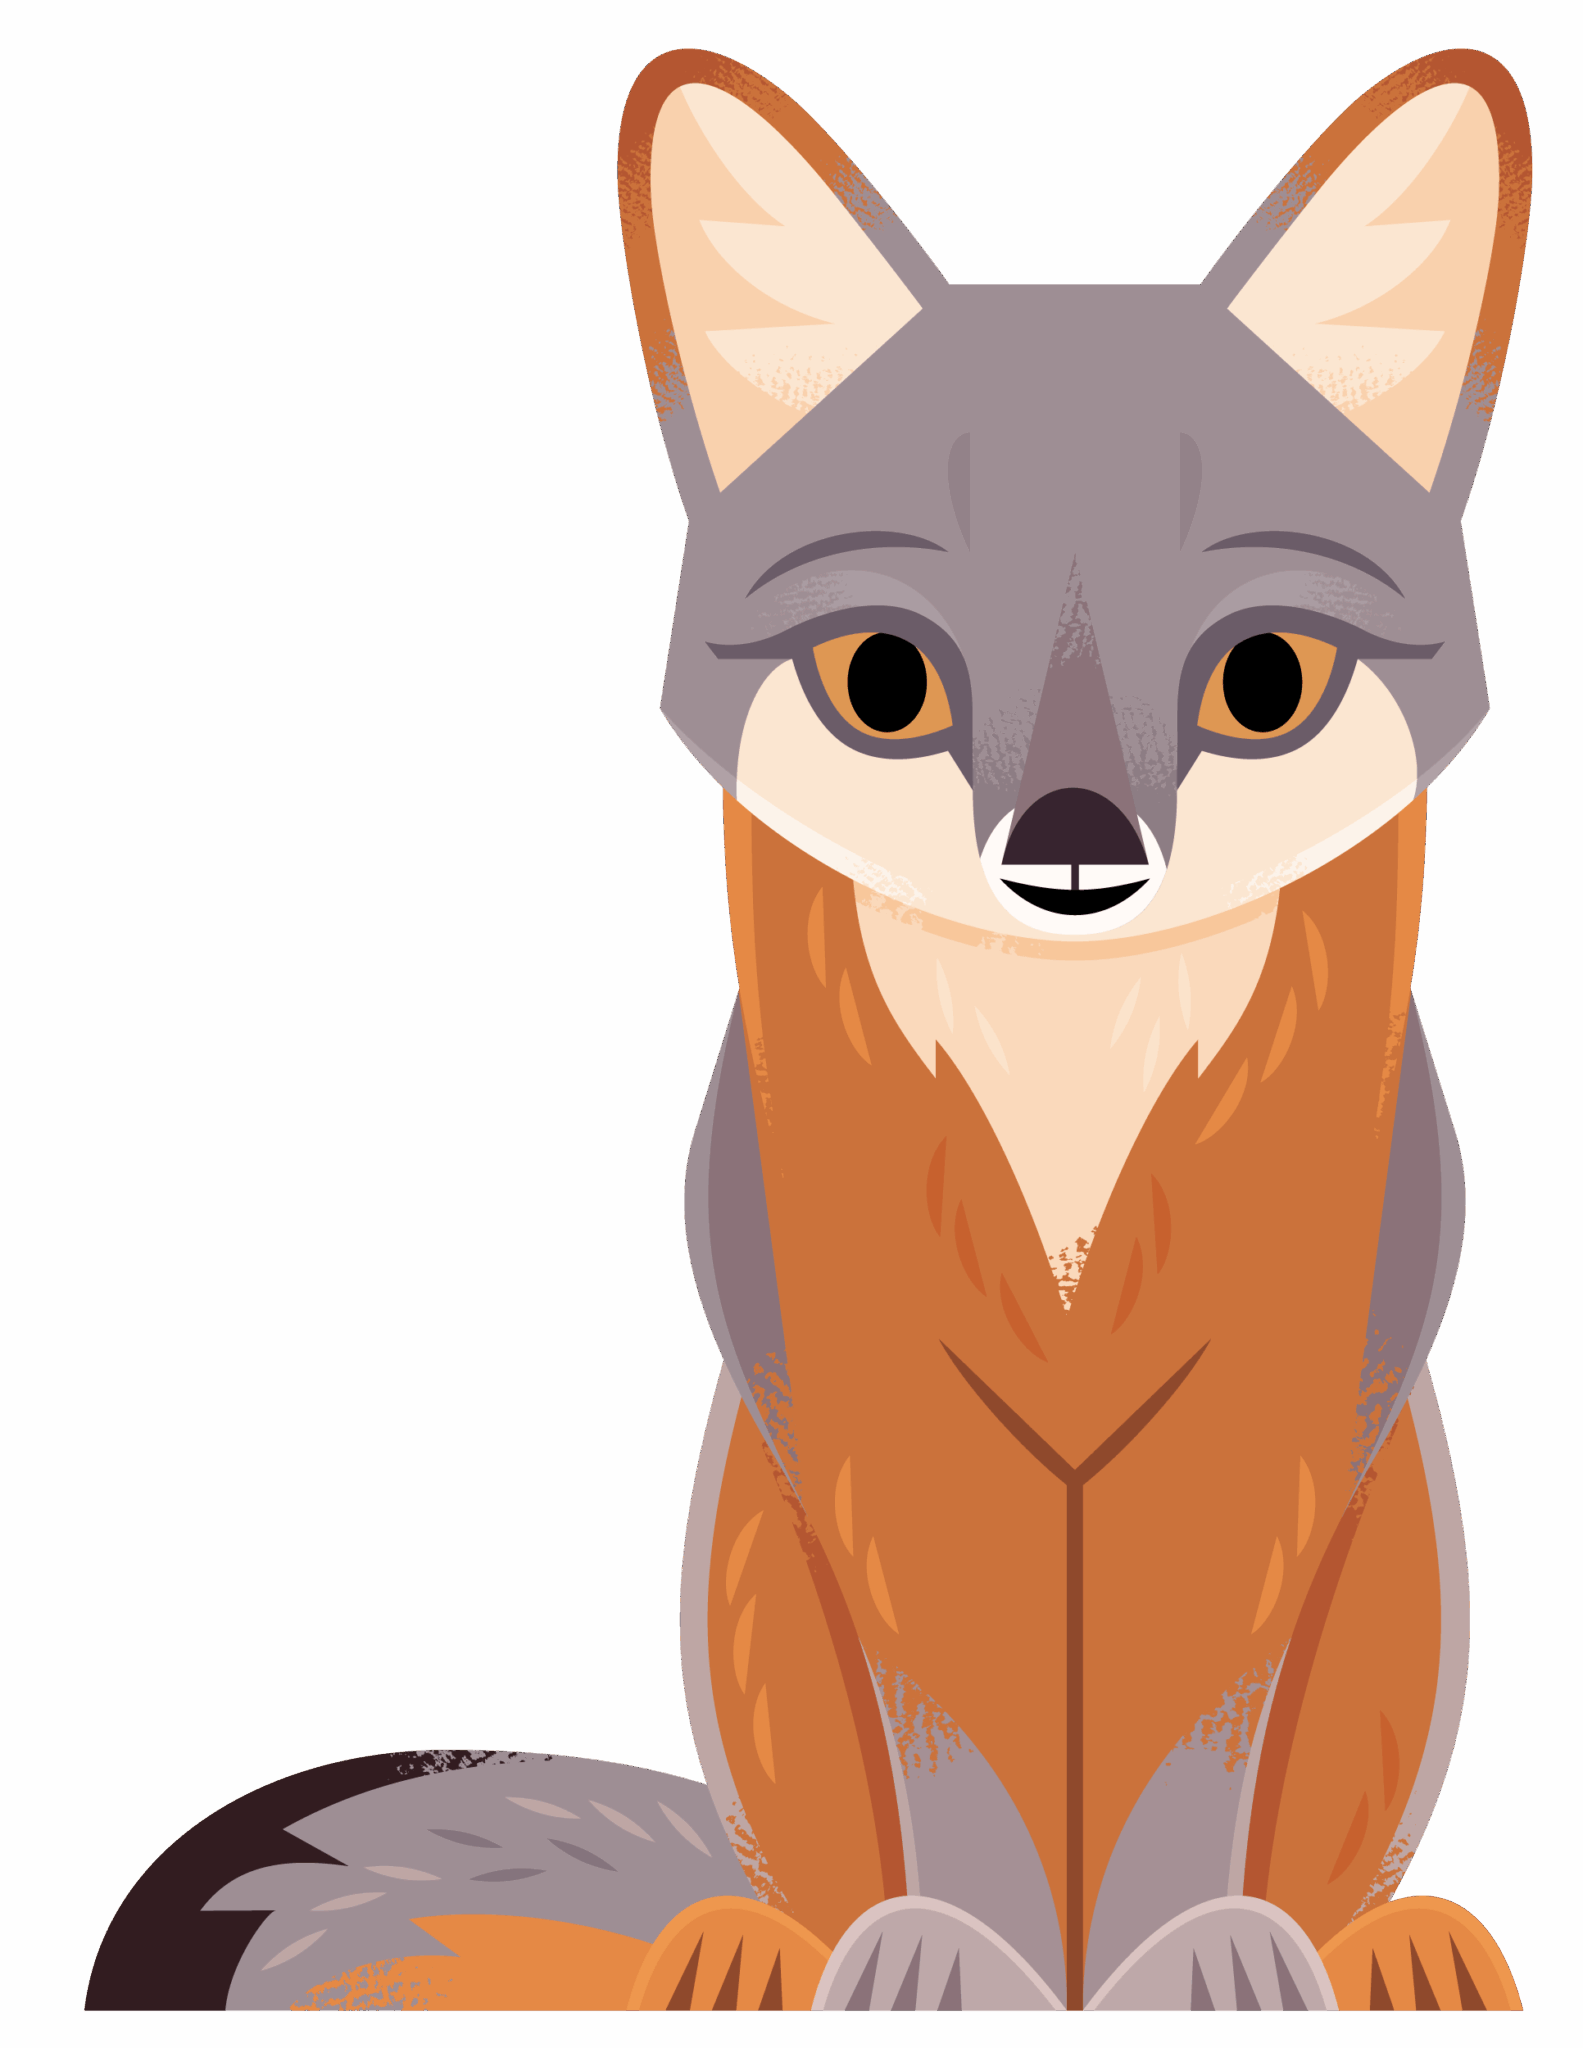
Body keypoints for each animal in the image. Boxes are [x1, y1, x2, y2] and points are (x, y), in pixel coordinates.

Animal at [92, 45, 1531, 2013]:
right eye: (883, 682)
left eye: (1261, 683)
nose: (1072, 857)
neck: (1064, 1074)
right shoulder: (862, 1428)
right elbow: (956, 1798)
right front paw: (946, 1953)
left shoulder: (1277, 1440)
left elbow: (1192, 1789)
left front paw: (1197, 1948)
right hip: (751, 1576)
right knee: (796, 1861)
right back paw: (769, 1942)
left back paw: (1366, 1940)